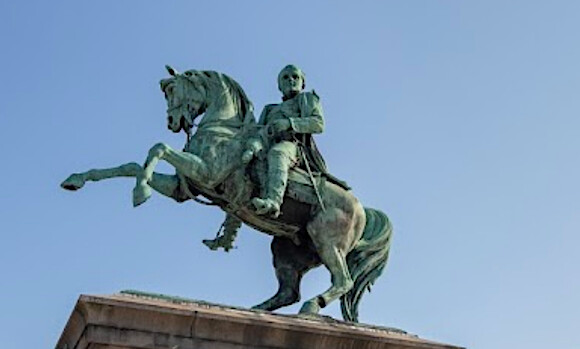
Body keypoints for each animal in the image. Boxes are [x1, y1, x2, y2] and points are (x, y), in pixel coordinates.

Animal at [61, 65, 392, 320]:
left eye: (173, 90)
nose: (172, 122)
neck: (223, 129)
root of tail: (361, 208)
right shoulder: (183, 188)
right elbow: (131, 164)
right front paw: (77, 179)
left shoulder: (205, 173)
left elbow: (158, 148)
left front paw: (140, 192)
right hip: (288, 249)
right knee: (289, 291)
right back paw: (256, 310)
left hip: (328, 242)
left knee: (342, 280)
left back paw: (311, 306)